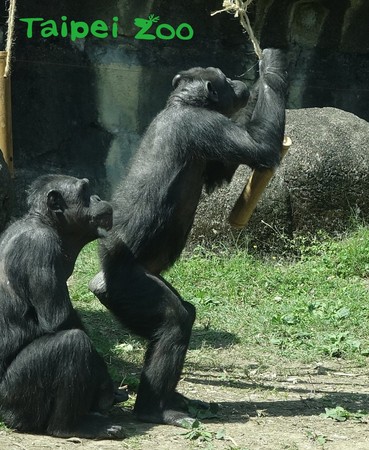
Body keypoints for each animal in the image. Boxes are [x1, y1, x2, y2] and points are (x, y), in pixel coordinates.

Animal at [0, 174, 124, 438]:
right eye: (85, 191)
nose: (97, 197)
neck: (45, 222)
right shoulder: (41, 247)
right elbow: (59, 319)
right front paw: (103, 384)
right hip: (14, 398)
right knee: (72, 344)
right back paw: (73, 426)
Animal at [89, 48, 288, 426]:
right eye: (224, 78)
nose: (238, 82)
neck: (184, 102)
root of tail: (99, 280)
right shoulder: (204, 126)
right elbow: (258, 147)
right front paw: (270, 68)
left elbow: (221, 175)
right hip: (128, 286)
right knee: (173, 322)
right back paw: (155, 410)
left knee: (185, 315)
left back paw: (175, 399)